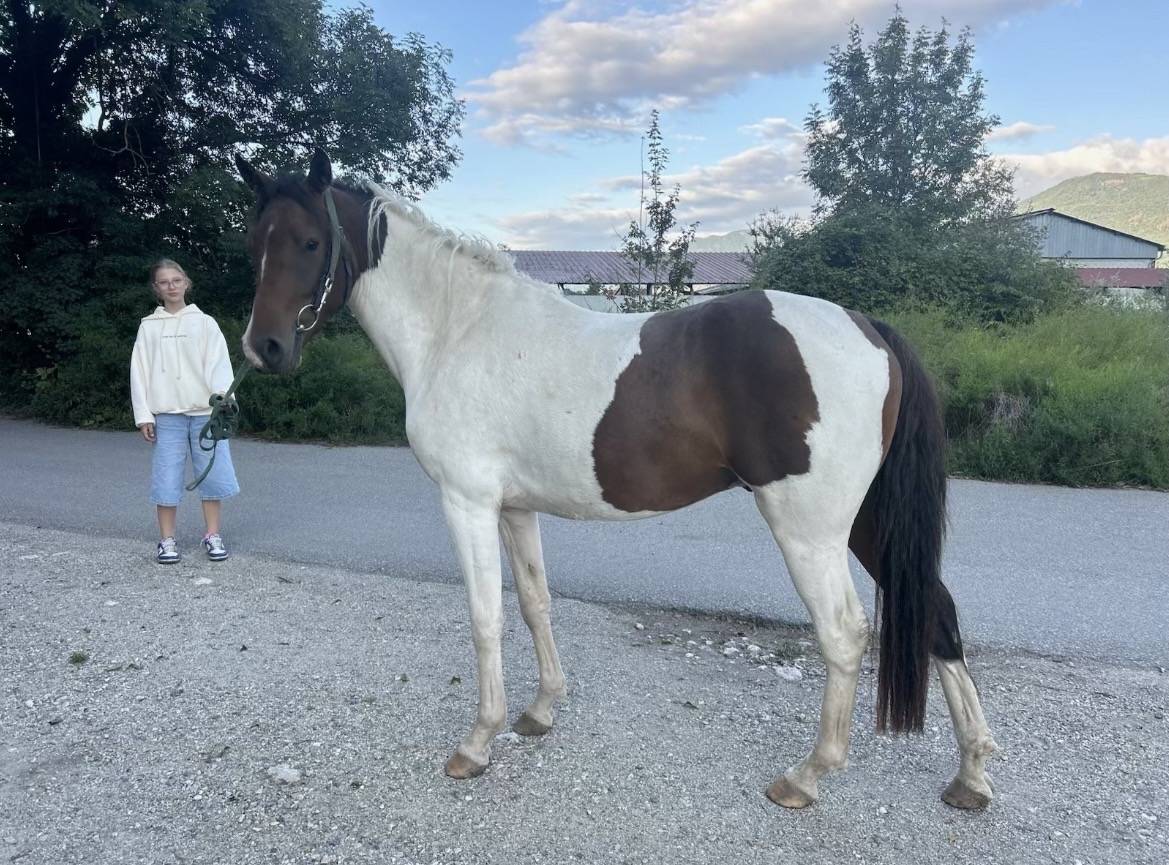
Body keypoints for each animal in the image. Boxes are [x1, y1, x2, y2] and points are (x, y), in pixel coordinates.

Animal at [233, 148, 997, 811]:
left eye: (309, 241)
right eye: (255, 239)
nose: (263, 347)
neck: (458, 330)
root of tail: (866, 326)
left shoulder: (466, 502)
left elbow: (484, 617)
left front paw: (477, 743)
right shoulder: (513, 508)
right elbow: (534, 603)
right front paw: (540, 710)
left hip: (810, 528)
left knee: (842, 633)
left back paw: (806, 775)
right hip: (867, 521)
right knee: (937, 612)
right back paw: (970, 774)